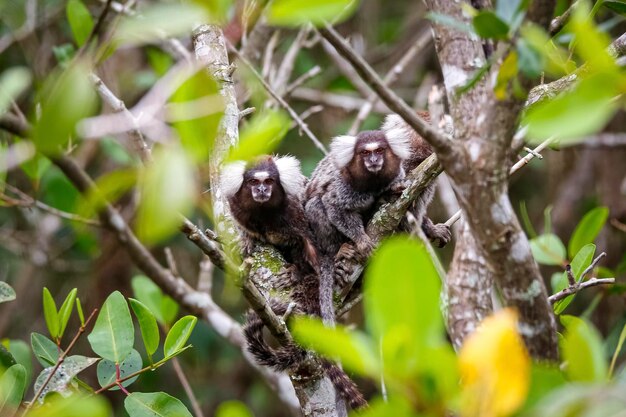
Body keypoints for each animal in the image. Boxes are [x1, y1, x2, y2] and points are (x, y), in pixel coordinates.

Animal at [304, 128, 410, 326]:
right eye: (365, 153)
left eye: (379, 150)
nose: (374, 160)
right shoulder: (343, 187)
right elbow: (334, 207)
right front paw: (361, 240)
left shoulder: (396, 176)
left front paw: (390, 193)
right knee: (315, 204)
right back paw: (339, 251)